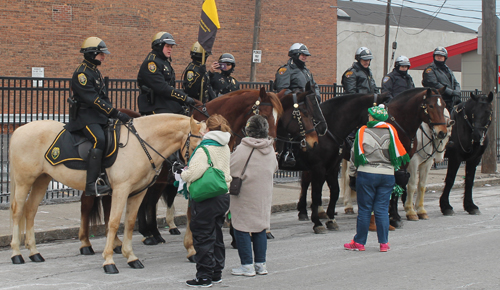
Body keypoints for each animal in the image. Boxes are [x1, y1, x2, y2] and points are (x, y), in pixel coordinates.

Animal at [8, 114, 206, 274]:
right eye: (197, 145)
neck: (141, 144)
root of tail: (19, 130)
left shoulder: (138, 192)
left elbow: (130, 222)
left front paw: (131, 256)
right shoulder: (121, 189)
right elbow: (113, 222)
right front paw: (109, 261)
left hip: (42, 179)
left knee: (31, 210)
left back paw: (34, 252)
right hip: (24, 180)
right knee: (18, 212)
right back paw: (17, 253)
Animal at [292, 93, 392, 233]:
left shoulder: (332, 167)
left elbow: (334, 190)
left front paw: (331, 219)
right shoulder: (319, 167)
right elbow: (316, 193)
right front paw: (317, 222)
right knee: (306, 183)